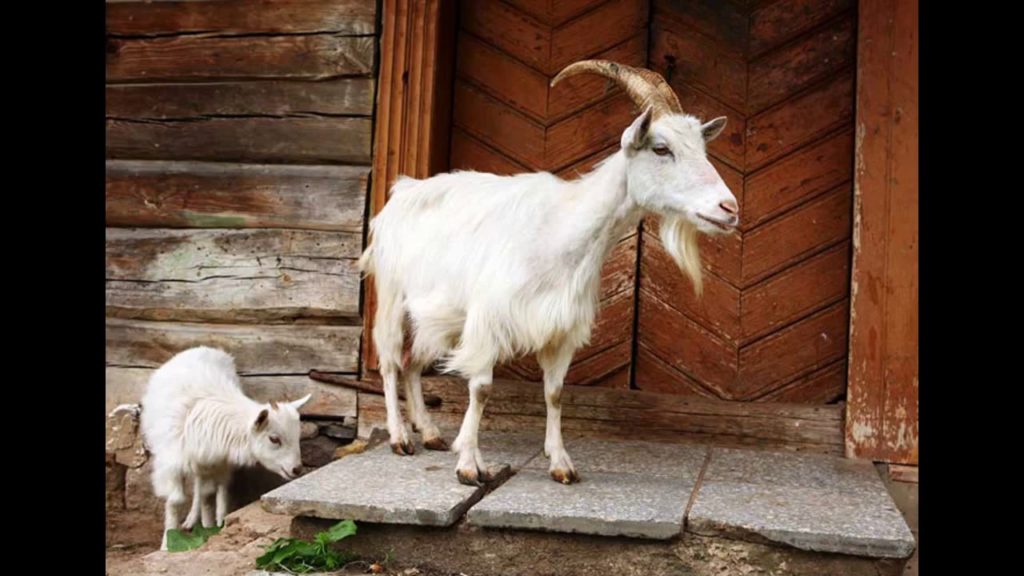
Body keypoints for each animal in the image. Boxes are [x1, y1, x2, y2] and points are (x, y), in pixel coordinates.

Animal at [139, 346, 310, 549]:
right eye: (274, 439)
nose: (297, 469)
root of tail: (202, 348)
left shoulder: (211, 461)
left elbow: (207, 495)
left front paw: (208, 529)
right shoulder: (171, 463)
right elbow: (175, 501)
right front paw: (167, 544)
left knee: (216, 486)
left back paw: (216, 517)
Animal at [358, 60, 739, 486]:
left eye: (702, 149)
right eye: (661, 148)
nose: (729, 208)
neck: (562, 229)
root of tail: (402, 191)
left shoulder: (562, 330)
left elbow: (555, 393)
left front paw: (560, 463)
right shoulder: (489, 321)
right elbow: (481, 389)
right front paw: (470, 465)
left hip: (438, 316)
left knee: (412, 364)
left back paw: (430, 432)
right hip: (392, 296)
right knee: (390, 361)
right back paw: (400, 437)